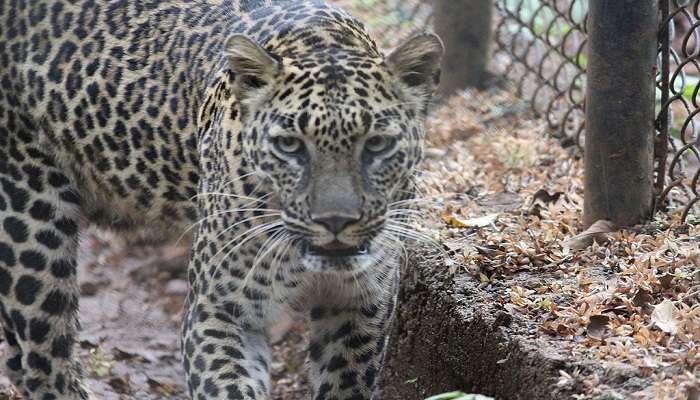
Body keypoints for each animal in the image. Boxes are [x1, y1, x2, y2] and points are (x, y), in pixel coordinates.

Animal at [0, 1, 442, 398]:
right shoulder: (220, 309)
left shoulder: (360, 308)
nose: (335, 221)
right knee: (44, 359)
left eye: (377, 144)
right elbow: (226, 385)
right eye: (290, 145)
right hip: (31, 224)